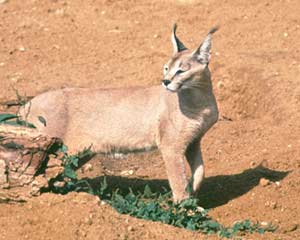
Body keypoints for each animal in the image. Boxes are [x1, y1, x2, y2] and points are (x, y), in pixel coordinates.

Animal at [19, 24, 219, 202]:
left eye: (181, 70)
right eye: (166, 68)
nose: (165, 81)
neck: (200, 98)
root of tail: (26, 104)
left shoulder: (193, 140)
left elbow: (200, 170)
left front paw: (193, 190)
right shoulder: (171, 146)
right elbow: (178, 179)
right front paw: (186, 209)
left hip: (79, 153)